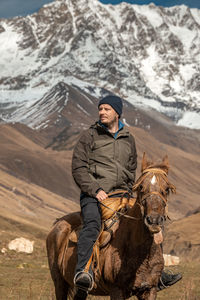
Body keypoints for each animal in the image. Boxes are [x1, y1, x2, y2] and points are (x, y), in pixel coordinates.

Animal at [46, 154, 175, 298]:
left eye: (167, 189)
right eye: (141, 187)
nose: (154, 220)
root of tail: (58, 223)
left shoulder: (149, 289)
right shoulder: (117, 289)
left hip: (80, 289)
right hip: (59, 282)